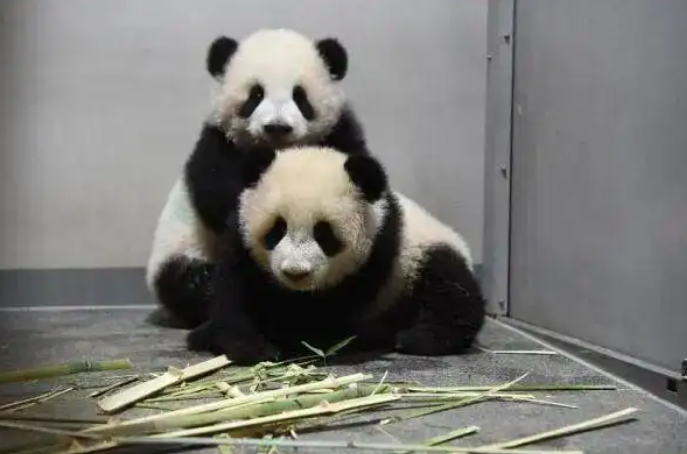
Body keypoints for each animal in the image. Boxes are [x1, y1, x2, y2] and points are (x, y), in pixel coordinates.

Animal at [146, 29, 371, 329]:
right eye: (255, 94)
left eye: (300, 97)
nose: (277, 127)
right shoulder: (220, 144)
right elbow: (219, 196)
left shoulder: (337, 135)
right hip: (179, 247)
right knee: (181, 282)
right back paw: (209, 287)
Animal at [187, 145, 486, 365]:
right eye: (277, 229)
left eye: (324, 234)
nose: (295, 272)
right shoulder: (241, 239)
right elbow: (233, 294)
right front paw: (249, 346)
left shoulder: (375, 256)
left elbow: (324, 315)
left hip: (423, 257)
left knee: (451, 293)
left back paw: (417, 338)